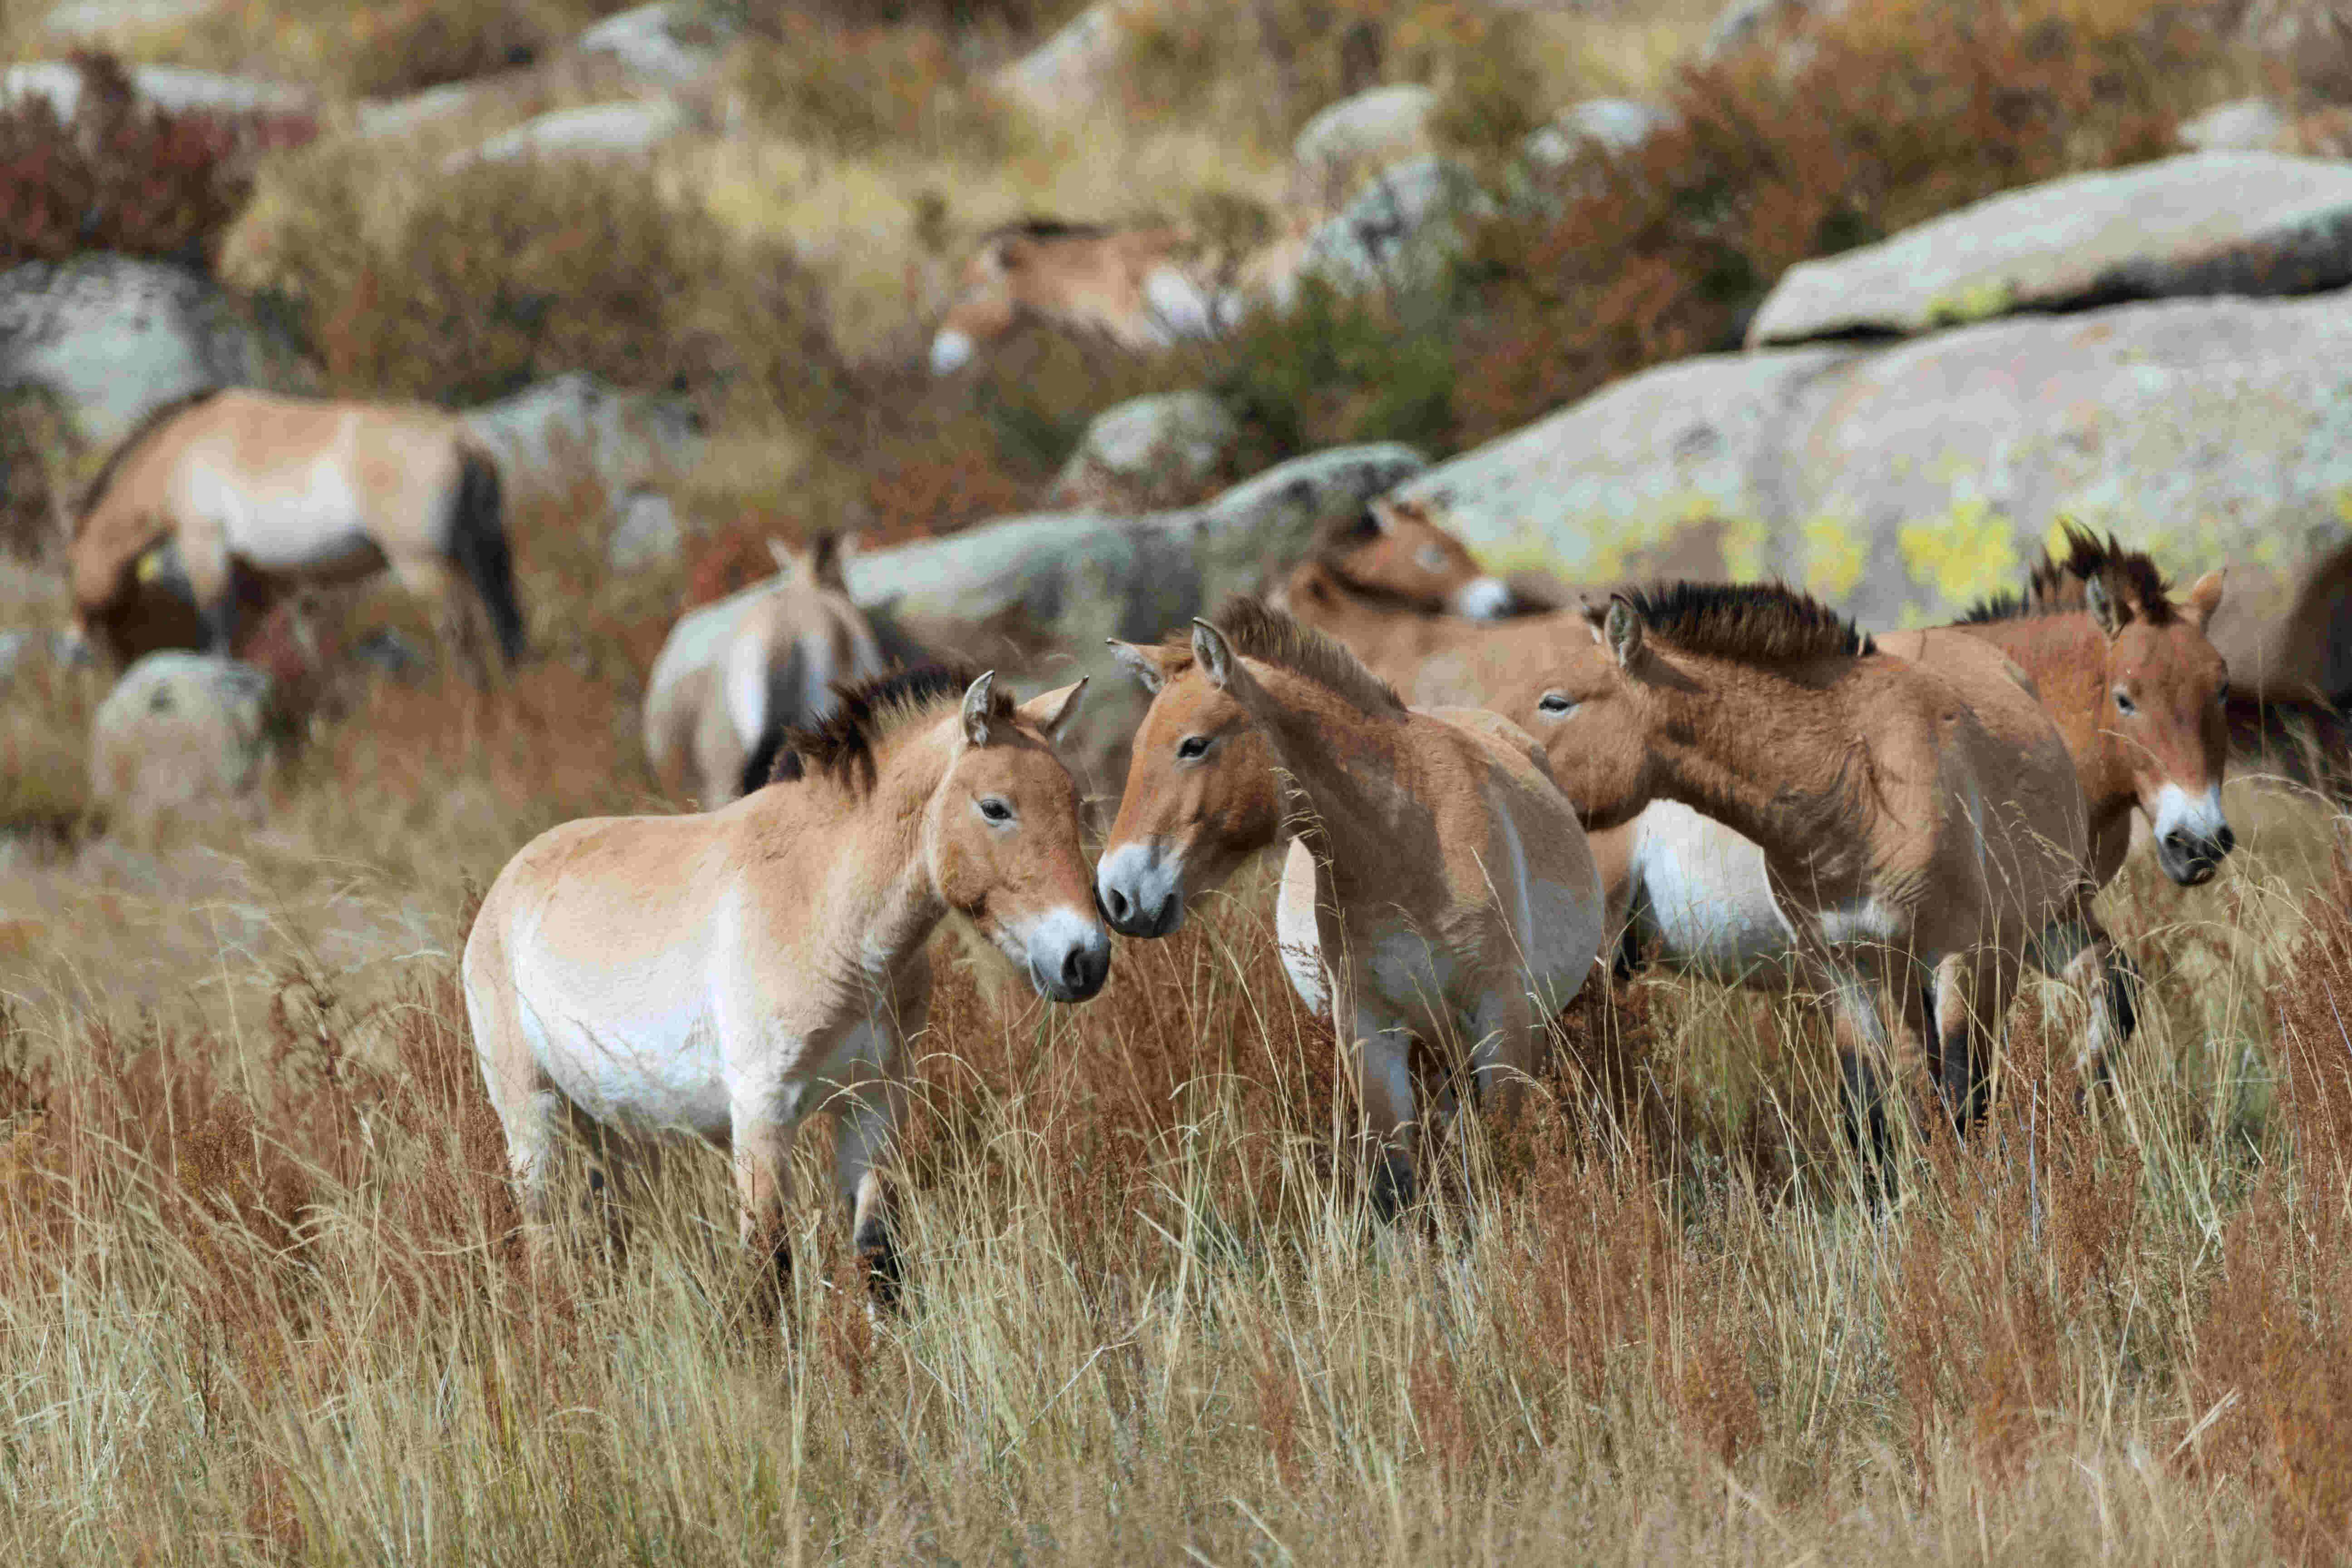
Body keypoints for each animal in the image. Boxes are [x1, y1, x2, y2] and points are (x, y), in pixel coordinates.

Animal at [67, 392, 527, 677]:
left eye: (69, 565)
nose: (77, 649)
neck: (179, 452)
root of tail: (460, 440)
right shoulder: (279, 582)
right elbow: (307, 646)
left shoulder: (205, 549)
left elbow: (217, 635)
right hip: (486, 554)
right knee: (508, 625)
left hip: (422, 565)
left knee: (462, 639)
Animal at [472, 667, 1115, 1307]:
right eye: (995, 808)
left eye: (1072, 801)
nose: (1086, 959)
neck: (825, 907)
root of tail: (507, 882)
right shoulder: (762, 1114)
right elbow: (769, 1268)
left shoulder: (873, 1106)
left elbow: (879, 1258)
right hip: (532, 1115)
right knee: (543, 1237)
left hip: (616, 1131)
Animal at [1096, 602, 1608, 1213]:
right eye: (1135, 751)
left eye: (1194, 745)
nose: (1117, 895)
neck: (1409, 846)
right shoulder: (1370, 1033)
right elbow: (1394, 1183)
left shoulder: (1500, 1019)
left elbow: (1507, 1160)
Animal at [1514, 585, 2088, 1142]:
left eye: (1556, 702)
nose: (1511, 762)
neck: (1860, 791)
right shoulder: (1841, 971)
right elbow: (1868, 1112)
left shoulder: (1961, 958)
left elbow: (1963, 1097)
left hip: (2039, 931)